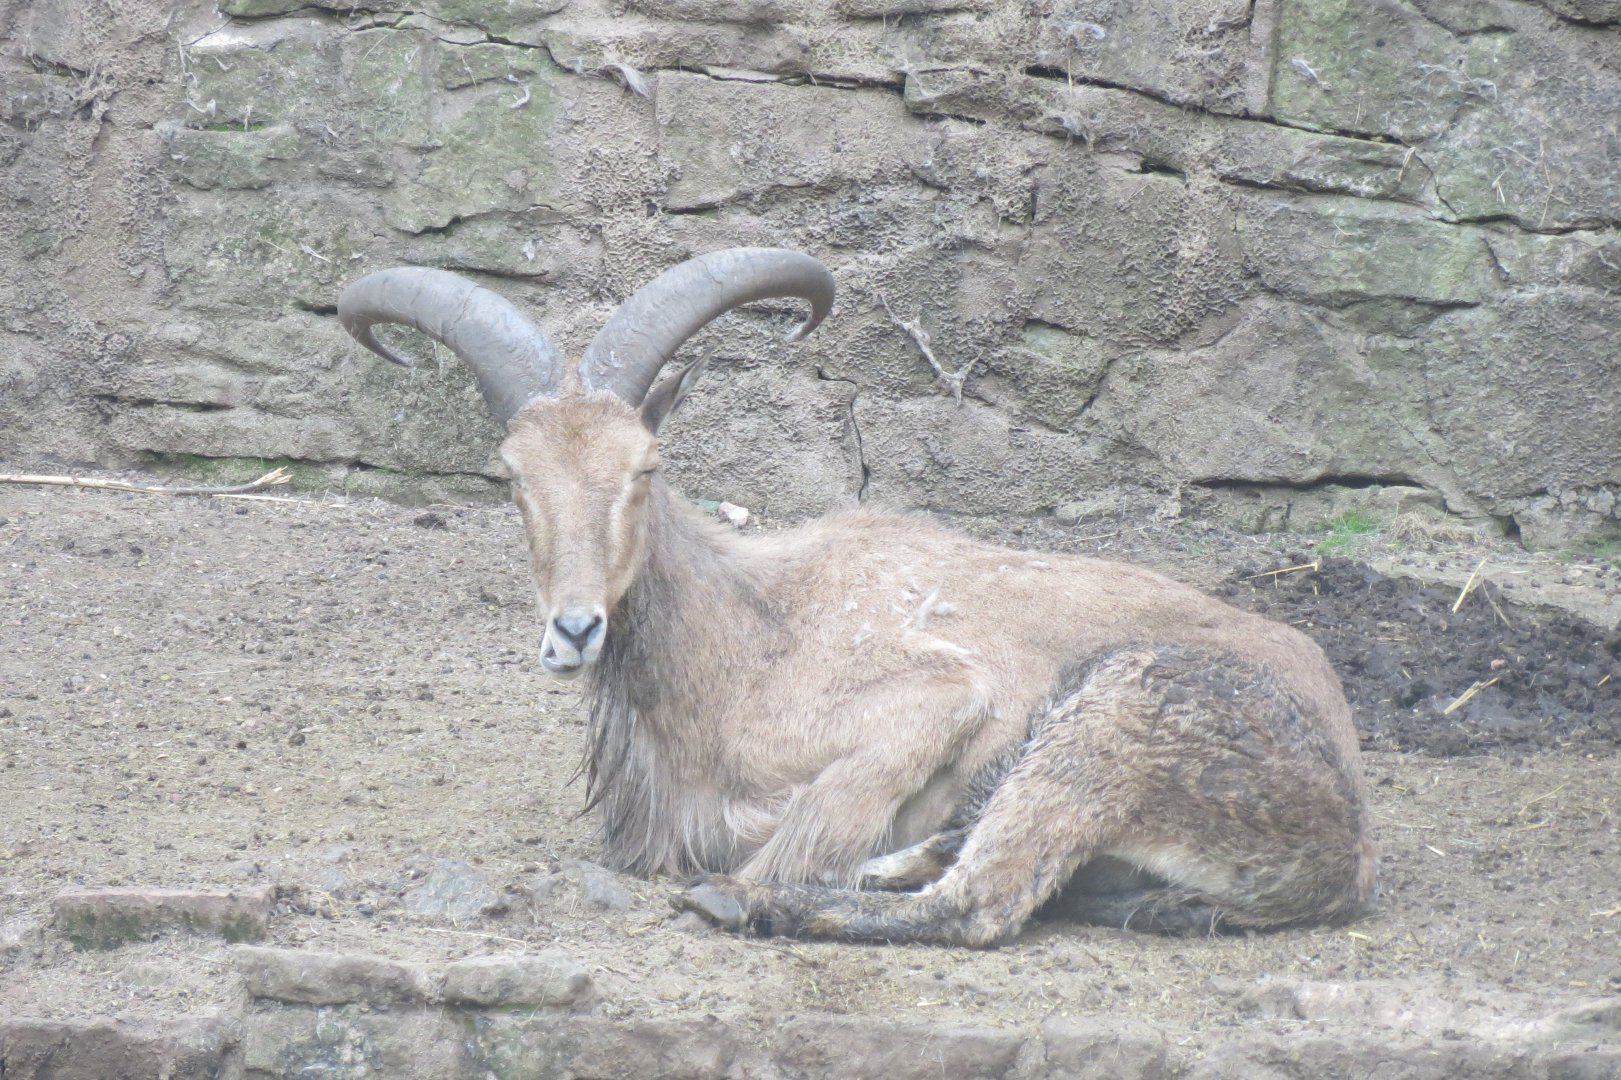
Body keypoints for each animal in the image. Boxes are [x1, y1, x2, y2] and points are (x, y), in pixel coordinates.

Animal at [336, 247, 1377, 947]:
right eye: (514, 476)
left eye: (646, 466)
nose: (576, 629)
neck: (743, 636)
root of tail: (1347, 855)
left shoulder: (934, 701)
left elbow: (810, 821)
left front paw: (757, 877)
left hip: (1118, 716)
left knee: (978, 901)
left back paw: (759, 901)